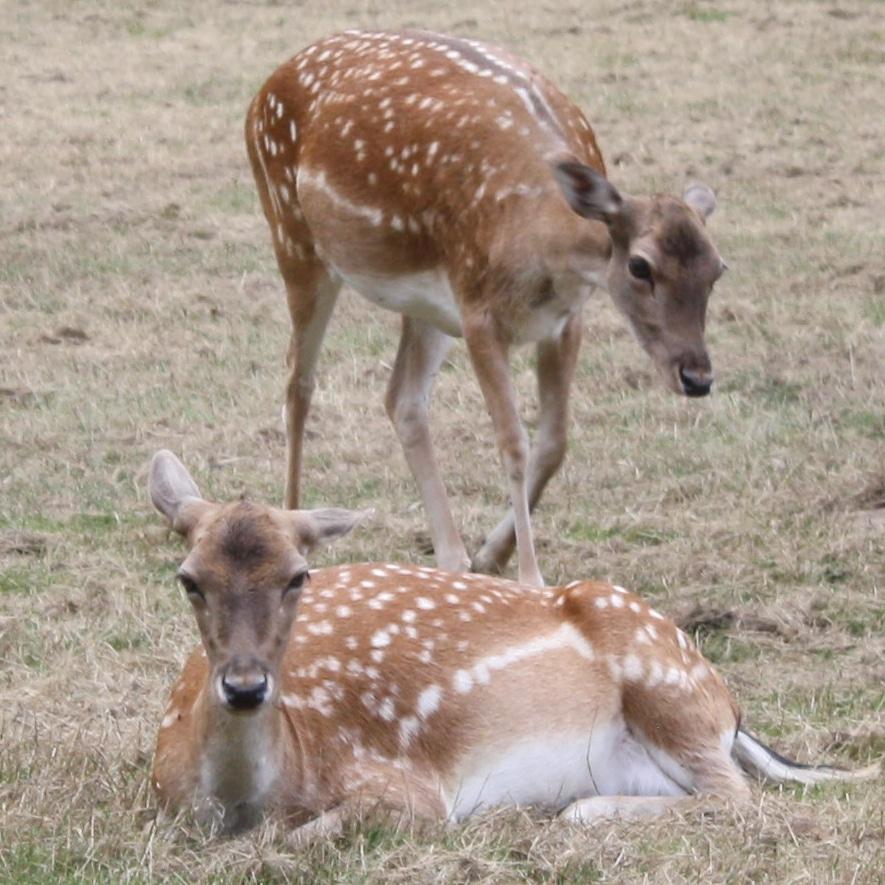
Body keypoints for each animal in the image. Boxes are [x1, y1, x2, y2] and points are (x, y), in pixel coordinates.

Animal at [148, 448, 872, 836]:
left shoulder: (406, 790)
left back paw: (579, 809)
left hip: (666, 685)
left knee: (735, 794)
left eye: (298, 575)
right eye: (189, 578)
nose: (245, 686)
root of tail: (731, 707)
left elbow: (306, 836)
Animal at [247, 27, 724, 588]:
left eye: (717, 269)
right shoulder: (479, 310)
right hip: (293, 237)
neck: (544, 246)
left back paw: (453, 558)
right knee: (298, 384)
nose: (697, 377)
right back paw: (294, 535)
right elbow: (513, 442)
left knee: (402, 399)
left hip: (427, 305)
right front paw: (531, 579)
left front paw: (491, 556)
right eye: (641, 266)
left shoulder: (565, 320)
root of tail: (262, 91)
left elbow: (555, 440)